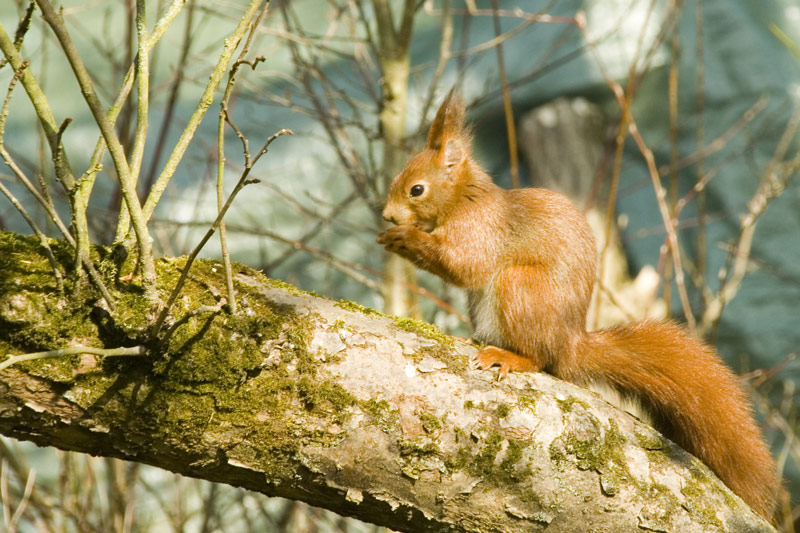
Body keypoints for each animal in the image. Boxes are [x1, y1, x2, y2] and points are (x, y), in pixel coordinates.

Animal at [378, 91, 780, 520]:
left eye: (416, 189)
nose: (387, 215)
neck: (464, 200)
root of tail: (570, 345)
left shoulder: (481, 231)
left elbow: (464, 265)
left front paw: (404, 238)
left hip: (520, 287)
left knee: (540, 358)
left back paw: (511, 357)